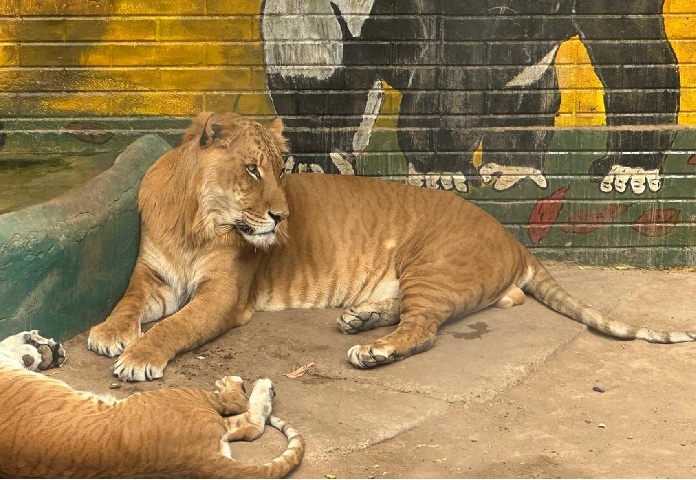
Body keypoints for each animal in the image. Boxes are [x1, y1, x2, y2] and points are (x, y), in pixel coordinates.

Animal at [0, 330, 304, 478]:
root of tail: (195, 459)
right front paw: (36, 346)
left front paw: (44, 351)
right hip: (180, 395)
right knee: (238, 406)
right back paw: (246, 383)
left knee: (251, 426)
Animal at [87, 112, 696, 382]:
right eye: (252, 169)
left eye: (282, 170)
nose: (282, 216)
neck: (196, 223)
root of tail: (515, 241)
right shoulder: (152, 276)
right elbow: (126, 303)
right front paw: (109, 334)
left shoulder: (224, 297)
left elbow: (177, 325)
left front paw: (138, 357)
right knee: (411, 313)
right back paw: (360, 319)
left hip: (431, 264)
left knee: (423, 329)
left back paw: (372, 349)